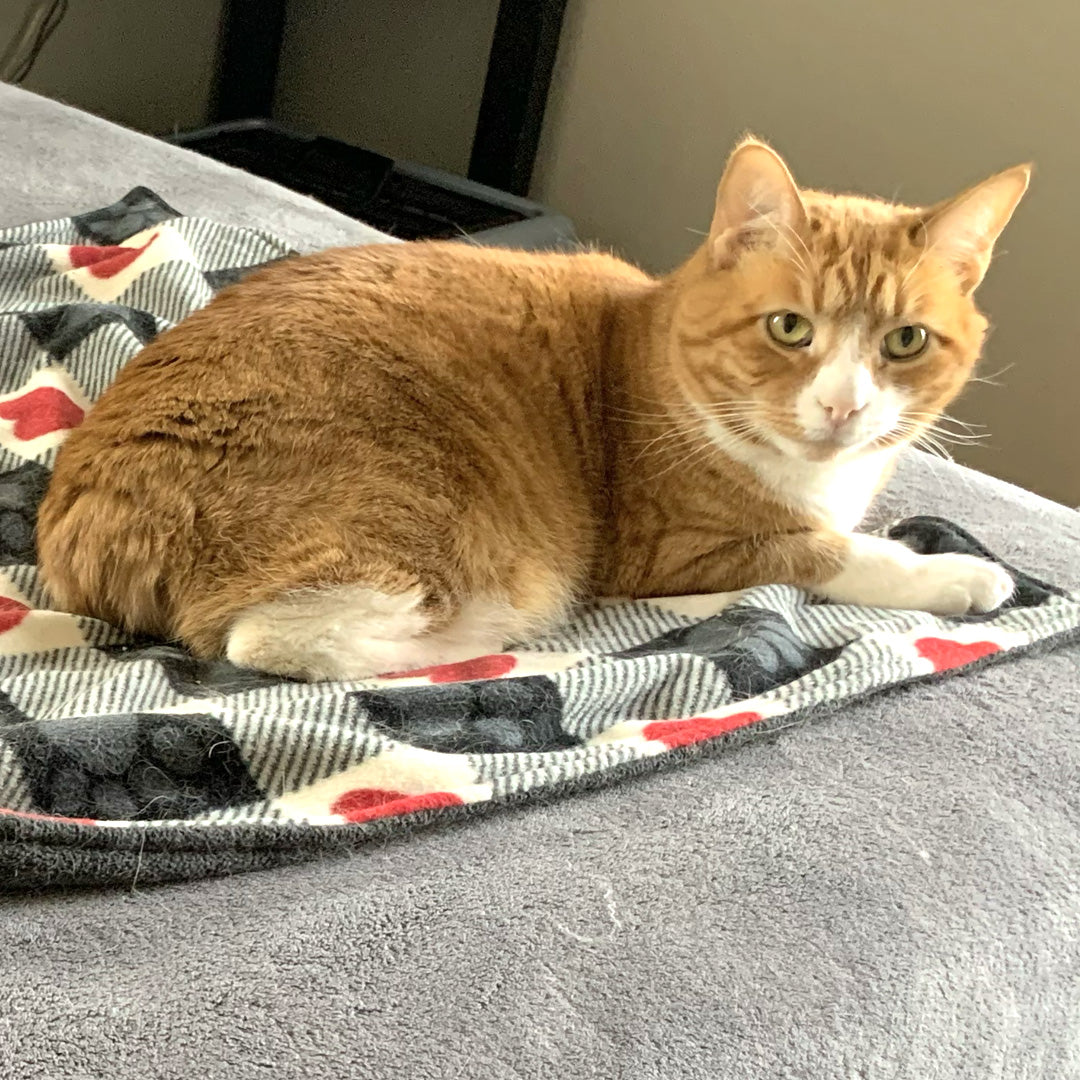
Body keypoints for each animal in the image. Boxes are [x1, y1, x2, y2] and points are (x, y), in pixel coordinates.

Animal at [33, 139, 1028, 678]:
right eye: (790, 328)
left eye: (905, 342)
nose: (845, 407)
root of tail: (78, 518)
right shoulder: (676, 547)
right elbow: (831, 554)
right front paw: (961, 574)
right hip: (447, 535)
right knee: (274, 640)